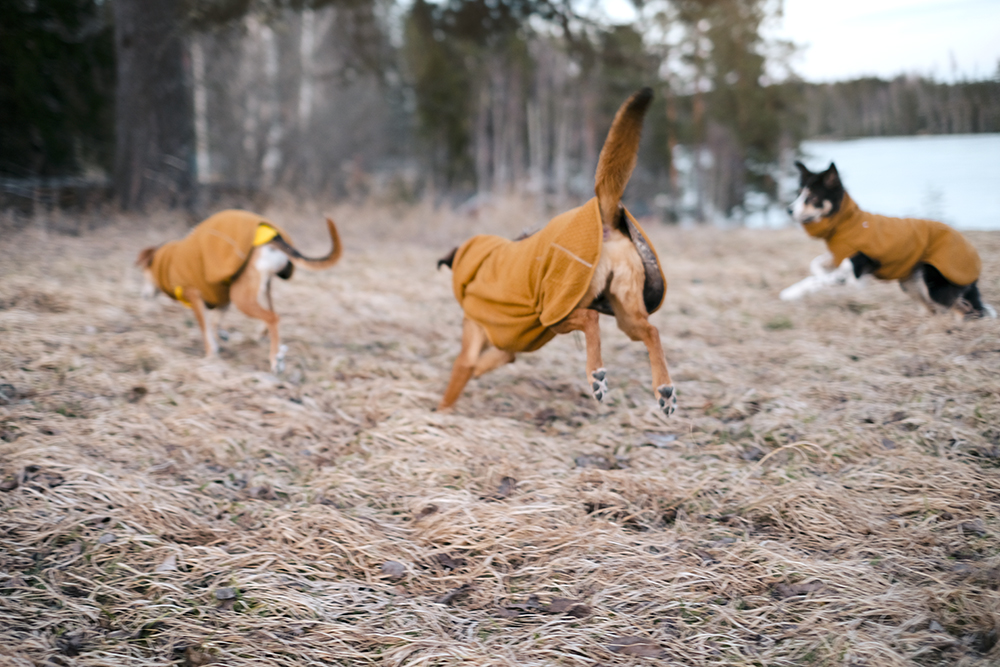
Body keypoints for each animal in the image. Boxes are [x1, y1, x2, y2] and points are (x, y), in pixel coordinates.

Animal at [136, 211, 344, 374]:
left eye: (143, 272)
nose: (143, 295)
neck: (168, 262)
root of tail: (273, 239)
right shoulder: (224, 297)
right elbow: (216, 323)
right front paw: (221, 336)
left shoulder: (195, 296)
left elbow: (206, 329)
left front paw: (210, 355)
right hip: (259, 288)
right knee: (272, 314)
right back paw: (269, 343)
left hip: (242, 297)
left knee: (272, 318)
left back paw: (275, 360)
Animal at [434, 86, 676, 414]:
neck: (479, 262)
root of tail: (602, 215)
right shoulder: (506, 347)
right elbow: (487, 363)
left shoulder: (472, 344)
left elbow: (458, 378)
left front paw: (438, 414)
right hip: (625, 311)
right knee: (651, 331)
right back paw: (664, 388)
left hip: (555, 310)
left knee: (591, 320)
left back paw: (596, 375)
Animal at [780, 160, 992, 320]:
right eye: (799, 194)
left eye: (812, 197)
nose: (788, 210)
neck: (844, 223)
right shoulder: (839, 257)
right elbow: (815, 265)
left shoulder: (855, 278)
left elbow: (817, 280)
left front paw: (791, 293)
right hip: (910, 282)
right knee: (933, 310)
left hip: (934, 284)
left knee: (966, 310)